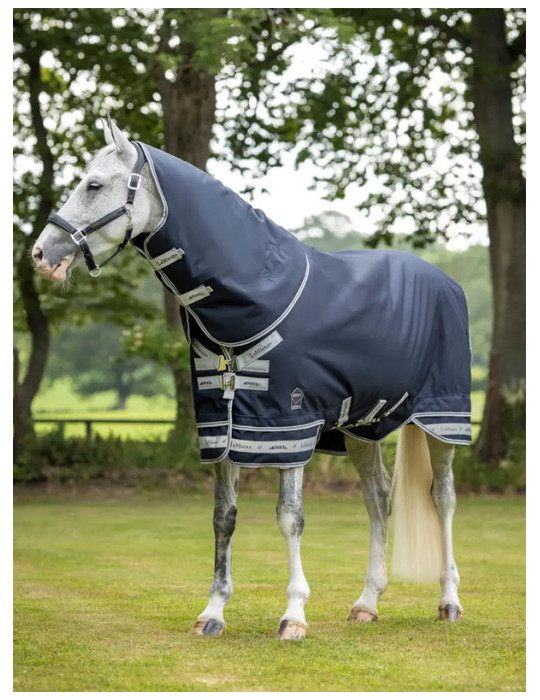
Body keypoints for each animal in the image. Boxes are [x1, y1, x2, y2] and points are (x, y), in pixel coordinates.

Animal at [32, 118, 469, 640]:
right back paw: (367, 602)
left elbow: (290, 518)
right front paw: (213, 612)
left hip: (442, 421)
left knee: (443, 499)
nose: (42, 254)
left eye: (94, 185)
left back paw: (449, 601)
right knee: (379, 498)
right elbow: (224, 518)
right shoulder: (223, 427)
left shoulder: (289, 424)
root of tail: (447, 282)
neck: (256, 298)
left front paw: (294, 615)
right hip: (362, 427)